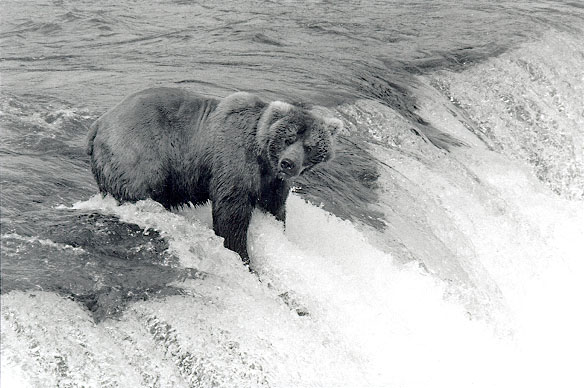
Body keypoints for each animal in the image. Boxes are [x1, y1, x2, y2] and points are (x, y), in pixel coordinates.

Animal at [88, 88, 340, 264]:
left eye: (309, 146)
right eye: (288, 138)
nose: (288, 163)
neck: (263, 157)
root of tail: (99, 123)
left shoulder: (273, 182)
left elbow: (275, 208)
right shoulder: (235, 159)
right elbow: (232, 212)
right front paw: (240, 254)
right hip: (137, 151)